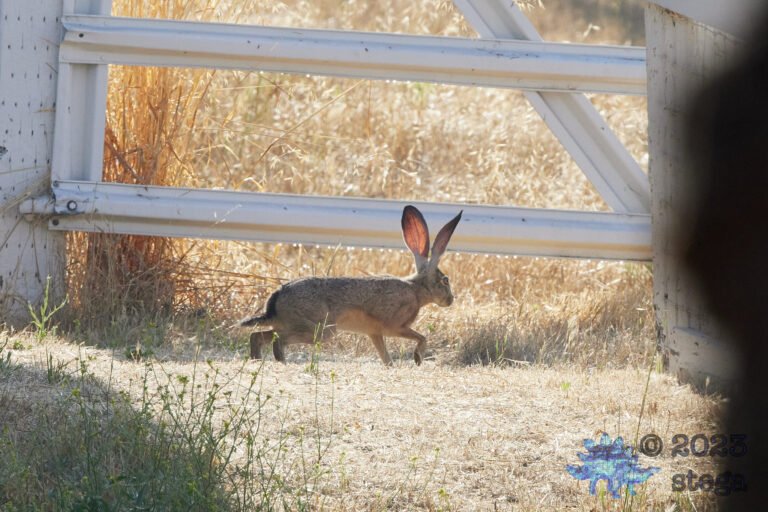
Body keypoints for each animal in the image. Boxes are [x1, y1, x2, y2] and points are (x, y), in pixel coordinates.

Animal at [241, 205, 462, 365]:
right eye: (445, 280)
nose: (451, 300)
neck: (416, 290)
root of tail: (276, 299)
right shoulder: (395, 326)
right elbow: (421, 337)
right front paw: (417, 359)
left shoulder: (375, 333)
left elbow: (385, 356)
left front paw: (391, 366)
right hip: (319, 330)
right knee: (278, 341)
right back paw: (281, 363)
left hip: (290, 325)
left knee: (257, 336)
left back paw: (256, 360)